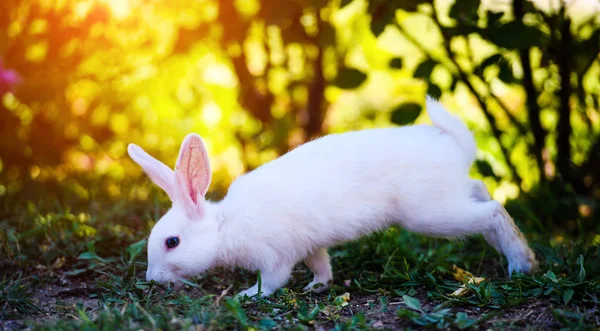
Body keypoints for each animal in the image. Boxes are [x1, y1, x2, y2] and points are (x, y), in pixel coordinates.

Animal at [127, 97, 540, 300]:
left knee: (495, 210)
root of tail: (457, 150)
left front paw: (247, 295)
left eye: (172, 242)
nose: (152, 278)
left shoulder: (275, 256)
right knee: (481, 191)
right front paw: (317, 287)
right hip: (451, 199)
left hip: (430, 214)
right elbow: (321, 265)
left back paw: (523, 263)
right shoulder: (310, 246)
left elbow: (272, 282)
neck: (225, 227)